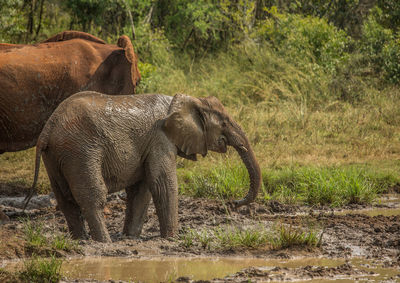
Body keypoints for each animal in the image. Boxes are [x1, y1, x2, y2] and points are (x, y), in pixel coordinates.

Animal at [25, 92, 262, 243]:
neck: (185, 100)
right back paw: (104, 243)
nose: (234, 203)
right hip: (80, 150)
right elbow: (162, 183)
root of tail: (49, 128)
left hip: (55, 155)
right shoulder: (160, 139)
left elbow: (141, 189)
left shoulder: (149, 145)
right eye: (224, 123)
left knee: (65, 199)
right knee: (93, 196)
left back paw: (81, 240)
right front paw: (172, 239)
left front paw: (131, 237)